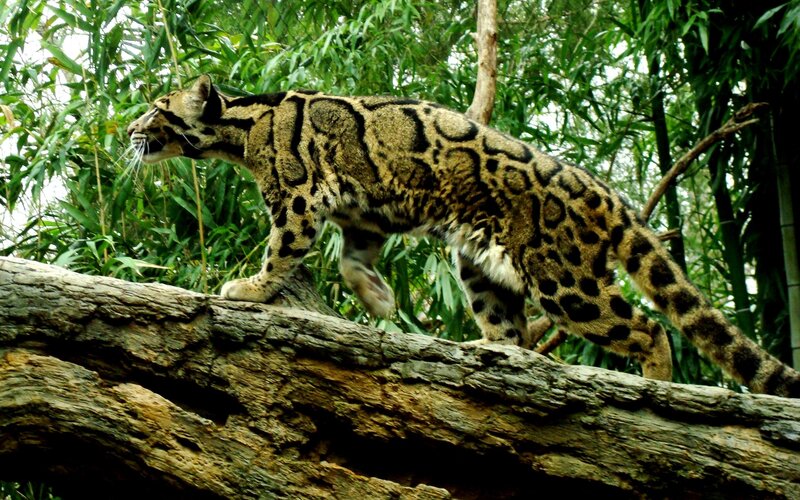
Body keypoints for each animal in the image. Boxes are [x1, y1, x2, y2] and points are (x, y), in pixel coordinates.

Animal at [127, 75, 800, 397]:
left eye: (157, 109)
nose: (129, 129)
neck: (243, 129)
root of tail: (606, 194)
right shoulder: (365, 216)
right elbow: (352, 262)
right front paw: (380, 300)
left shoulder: (297, 196)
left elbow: (281, 251)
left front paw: (250, 289)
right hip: (480, 267)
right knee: (515, 333)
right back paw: (490, 350)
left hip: (563, 280)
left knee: (648, 327)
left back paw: (655, 387)